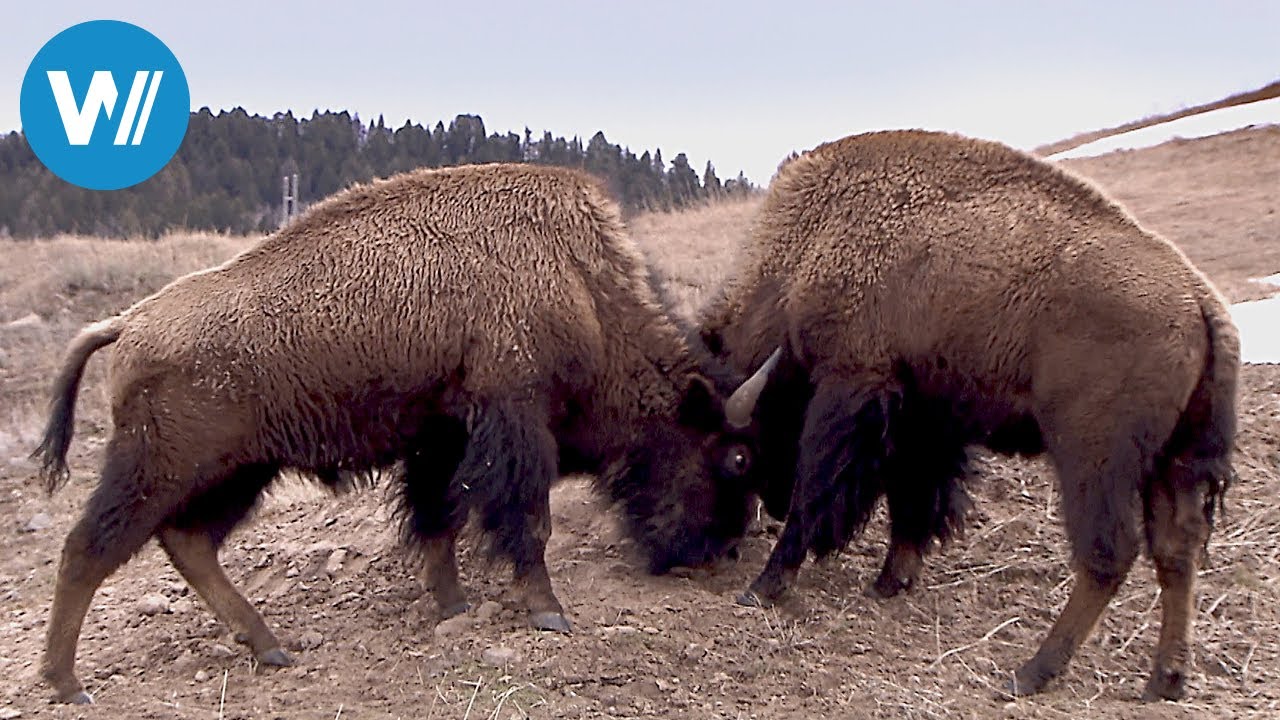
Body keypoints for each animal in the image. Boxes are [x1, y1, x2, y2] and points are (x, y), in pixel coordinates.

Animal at [30, 161, 773, 702]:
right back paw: (68, 684)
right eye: (732, 456)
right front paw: (548, 612)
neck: (577, 283)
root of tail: (127, 323)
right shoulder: (514, 420)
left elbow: (438, 518)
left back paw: (270, 647)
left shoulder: (441, 437)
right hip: (161, 467)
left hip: (238, 472)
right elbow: (524, 520)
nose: (718, 550)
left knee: (188, 543)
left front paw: (452, 607)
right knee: (89, 548)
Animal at [701, 127, 1239, 696]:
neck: (808, 248)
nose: (766, 507)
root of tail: (1201, 301)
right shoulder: (923, 418)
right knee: (1176, 550)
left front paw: (763, 586)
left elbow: (820, 489)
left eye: (739, 454)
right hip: (1172, 463)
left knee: (1108, 553)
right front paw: (890, 582)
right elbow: (912, 501)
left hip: (1092, 458)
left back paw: (1032, 671)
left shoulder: (852, 385)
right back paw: (1166, 679)